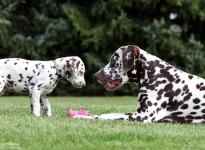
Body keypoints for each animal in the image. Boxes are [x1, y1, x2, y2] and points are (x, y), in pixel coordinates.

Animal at [74, 45, 205, 124]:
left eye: (113, 60)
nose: (96, 75)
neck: (155, 74)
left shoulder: (142, 116)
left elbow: (106, 116)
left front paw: (82, 116)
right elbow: (110, 114)